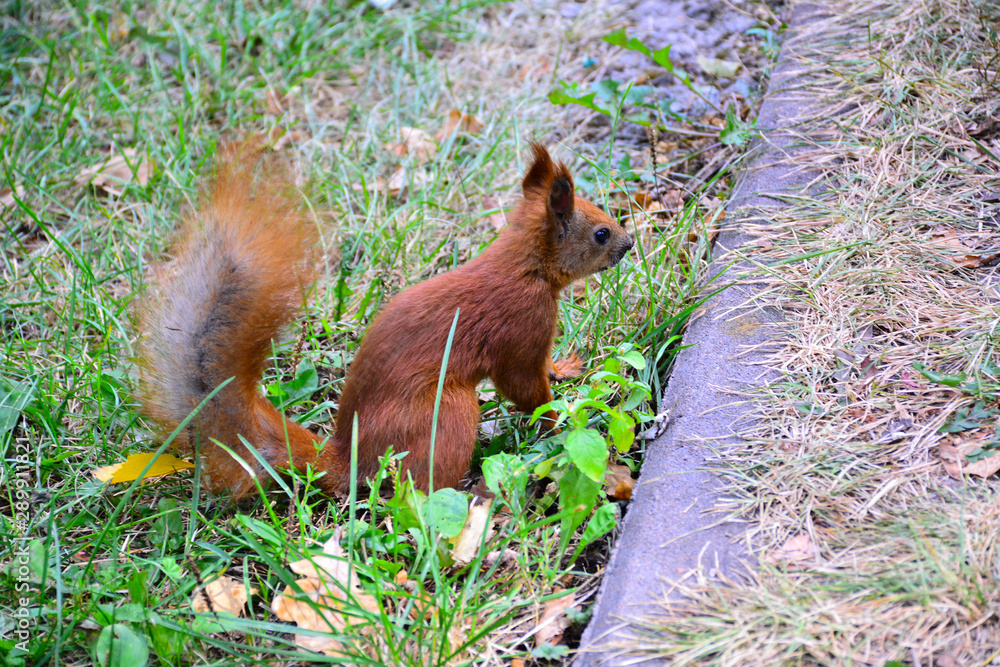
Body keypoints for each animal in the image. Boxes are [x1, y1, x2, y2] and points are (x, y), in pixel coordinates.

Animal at [137, 139, 634, 498]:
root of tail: (350, 459)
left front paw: (565, 368)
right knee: (419, 488)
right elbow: (526, 388)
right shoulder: (524, 324)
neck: (525, 265)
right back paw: (475, 495)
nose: (629, 244)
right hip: (448, 414)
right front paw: (561, 425)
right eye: (600, 233)